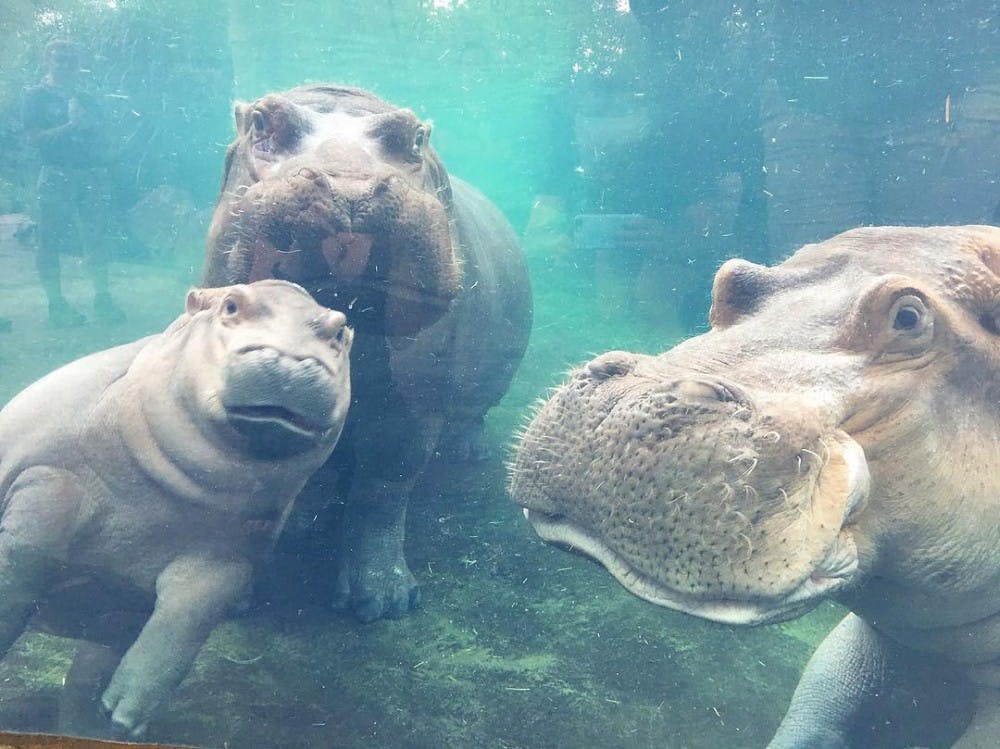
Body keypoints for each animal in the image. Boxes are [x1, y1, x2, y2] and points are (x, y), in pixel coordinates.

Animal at [0, 280, 352, 737]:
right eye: (231, 304)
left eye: (340, 330)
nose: (293, 359)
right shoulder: (49, 482)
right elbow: (18, 570)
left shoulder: (227, 556)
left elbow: (185, 620)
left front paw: (124, 713)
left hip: (111, 620)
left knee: (85, 676)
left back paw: (95, 728)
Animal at [202, 84, 532, 622]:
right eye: (261, 122)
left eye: (415, 136)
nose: (347, 190)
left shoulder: (411, 403)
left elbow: (383, 488)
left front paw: (382, 602)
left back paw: (467, 451)